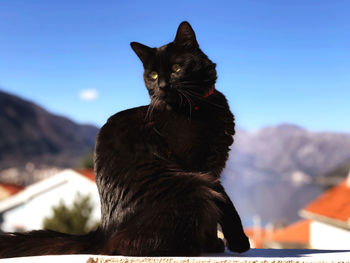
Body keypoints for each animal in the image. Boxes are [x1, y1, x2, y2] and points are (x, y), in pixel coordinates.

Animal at [0, 21, 249, 258]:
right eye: (153, 75)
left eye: (177, 68)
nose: (162, 86)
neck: (199, 105)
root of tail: (103, 232)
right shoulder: (200, 168)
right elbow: (223, 203)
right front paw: (234, 242)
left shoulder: (212, 165)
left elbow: (220, 204)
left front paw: (218, 243)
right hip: (192, 187)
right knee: (128, 245)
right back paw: (190, 247)